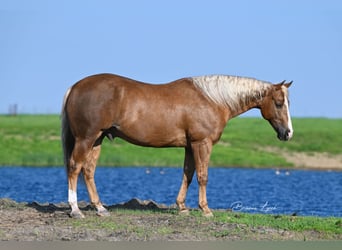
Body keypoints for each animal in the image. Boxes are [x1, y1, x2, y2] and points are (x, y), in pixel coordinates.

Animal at [60, 73, 292, 218]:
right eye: (279, 103)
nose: (288, 133)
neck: (212, 100)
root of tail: (75, 87)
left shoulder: (190, 146)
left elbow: (188, 174)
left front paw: (182, 207)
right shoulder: (202, 143)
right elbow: (202, 176)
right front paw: (206, 210)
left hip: (97, 139)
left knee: (88, 170)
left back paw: (100, 208)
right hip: (86, 138)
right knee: (74, 167)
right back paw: (75, 209)